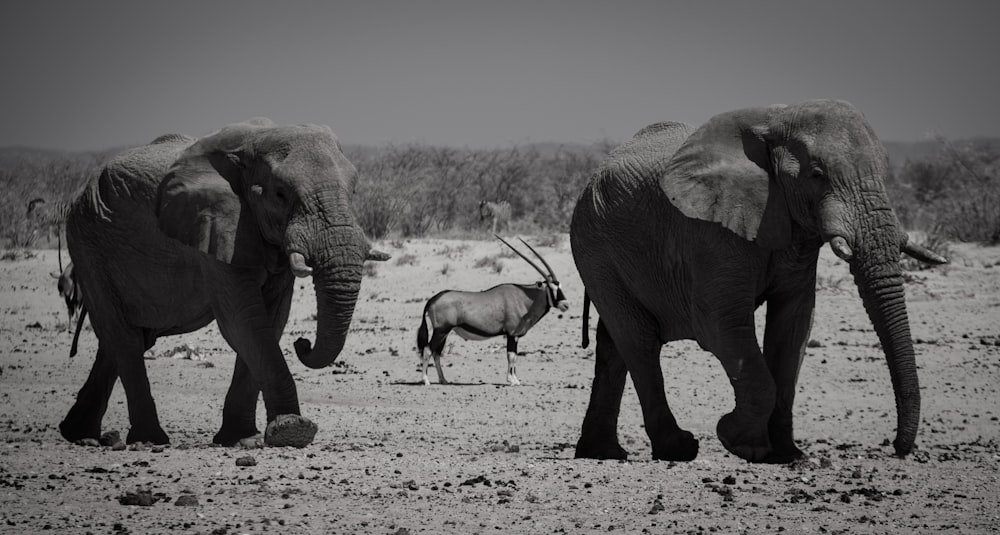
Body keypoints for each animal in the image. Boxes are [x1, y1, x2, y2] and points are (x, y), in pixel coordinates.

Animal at [61, 118, 390, 448]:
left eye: (354, 190)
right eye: (280, 194)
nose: (302, 343)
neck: (255, 142)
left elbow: (271, 321)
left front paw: (244, 439)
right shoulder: (217, 228)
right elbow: (243, 322)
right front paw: (292, 431)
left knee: (121, 341)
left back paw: (78, 434)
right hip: (88, 242)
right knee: (123, 337)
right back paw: (149, 440)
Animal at [416, 238, 572, 386]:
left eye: (560, 286)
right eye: (551, 288)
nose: (566, 305)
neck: (525, 298)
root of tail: (433, 299)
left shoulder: (515, 336)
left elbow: (514, 356)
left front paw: (515, 380)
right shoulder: (512, 334)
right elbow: (511, 356)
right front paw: (512, 380)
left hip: (444, 332)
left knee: (436, 352)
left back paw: (443, 380)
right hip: (441, 330)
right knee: (427, 350)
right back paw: (426, 380)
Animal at [572, 101, 944, 464]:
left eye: (884, 171)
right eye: (816, 175)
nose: (897, 448)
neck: (777, 119)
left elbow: (793, 327)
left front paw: (786, 455)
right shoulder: (712, 230)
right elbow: (720, 325)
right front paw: (738, 441)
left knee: (614, 343)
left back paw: (602, 452)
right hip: (595, 248)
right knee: (639, 341)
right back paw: (677, 449)